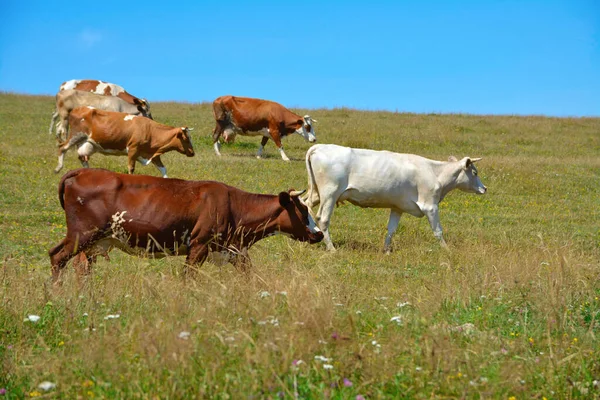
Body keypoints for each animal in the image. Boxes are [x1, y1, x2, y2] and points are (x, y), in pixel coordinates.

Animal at [49, 167, 324, 282]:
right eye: (302, 210)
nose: (320, 234)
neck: (234, 205)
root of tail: (83, 171)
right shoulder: (199, 245)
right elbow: (188, 277)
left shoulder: (234, 250)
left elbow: (249, 275)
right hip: (83, 234)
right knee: (58, 257)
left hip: (91, 241)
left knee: (78, 265)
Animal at [54, 106, 195, 177]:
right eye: (186, 138)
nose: (193, 153)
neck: (150, 130)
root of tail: (78, 108)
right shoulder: (133, 149)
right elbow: (131, 168)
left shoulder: (152, 154)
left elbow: (163, 170)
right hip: (76, 135)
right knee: (62, 147)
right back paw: (58, 168)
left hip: (89, 144)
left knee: (83, 157)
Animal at [304, 145, 488, 253]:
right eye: (475, 172)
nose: (484, 188)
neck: (435, 172)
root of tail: (320, 147)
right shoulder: (430, 206)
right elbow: (438, 230)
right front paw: (447, 250)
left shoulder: (397, 207)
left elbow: (391, 230)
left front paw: (386, 251)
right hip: (330, 193)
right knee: (323, 219)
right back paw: (332, 249)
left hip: (317, 194)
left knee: (304, 205)